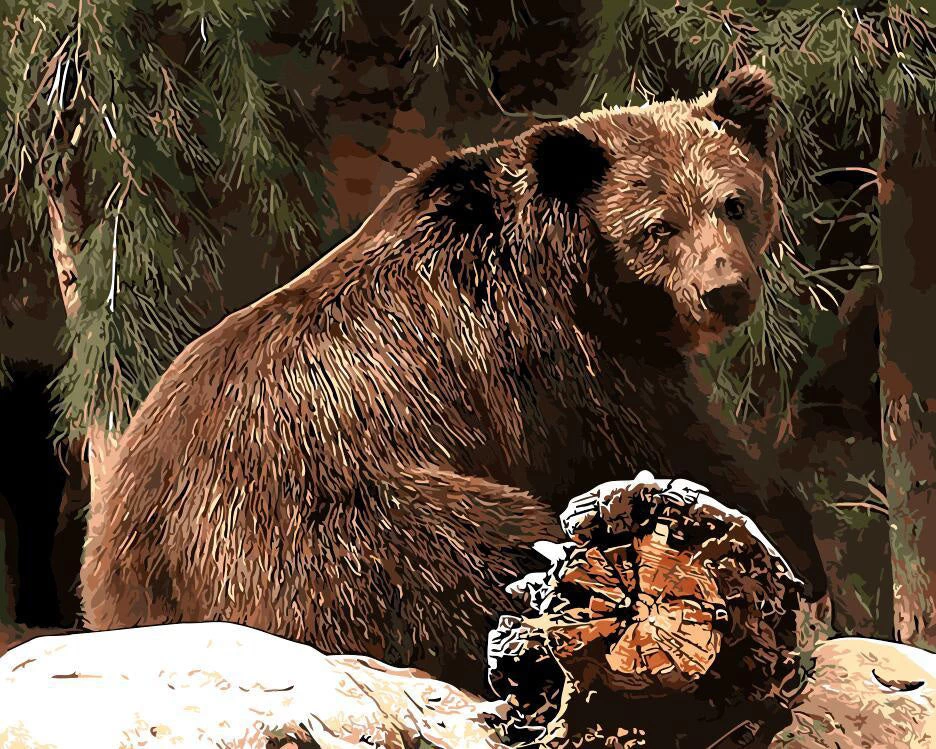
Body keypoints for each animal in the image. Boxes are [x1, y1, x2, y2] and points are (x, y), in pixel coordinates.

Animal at [80, 65, 825, 693]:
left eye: (734, 201)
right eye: (658, 227)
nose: (723, 289)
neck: (584, 271)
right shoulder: (562, 358)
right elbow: (673, 444)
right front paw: (788, 550)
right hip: (333, 510)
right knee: (489, 557)